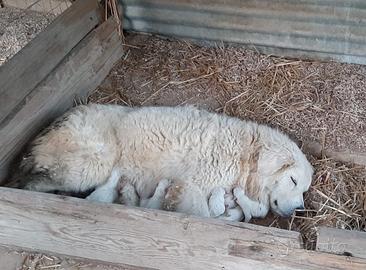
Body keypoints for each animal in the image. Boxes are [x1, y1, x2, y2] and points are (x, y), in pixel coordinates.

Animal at [17, 104, 314, 220]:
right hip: (91, 164)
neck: (246, 156)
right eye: (293, 180)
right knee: (30, 183)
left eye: (304, 190)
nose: (299, 209)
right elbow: (202, 213)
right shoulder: (193, 184)